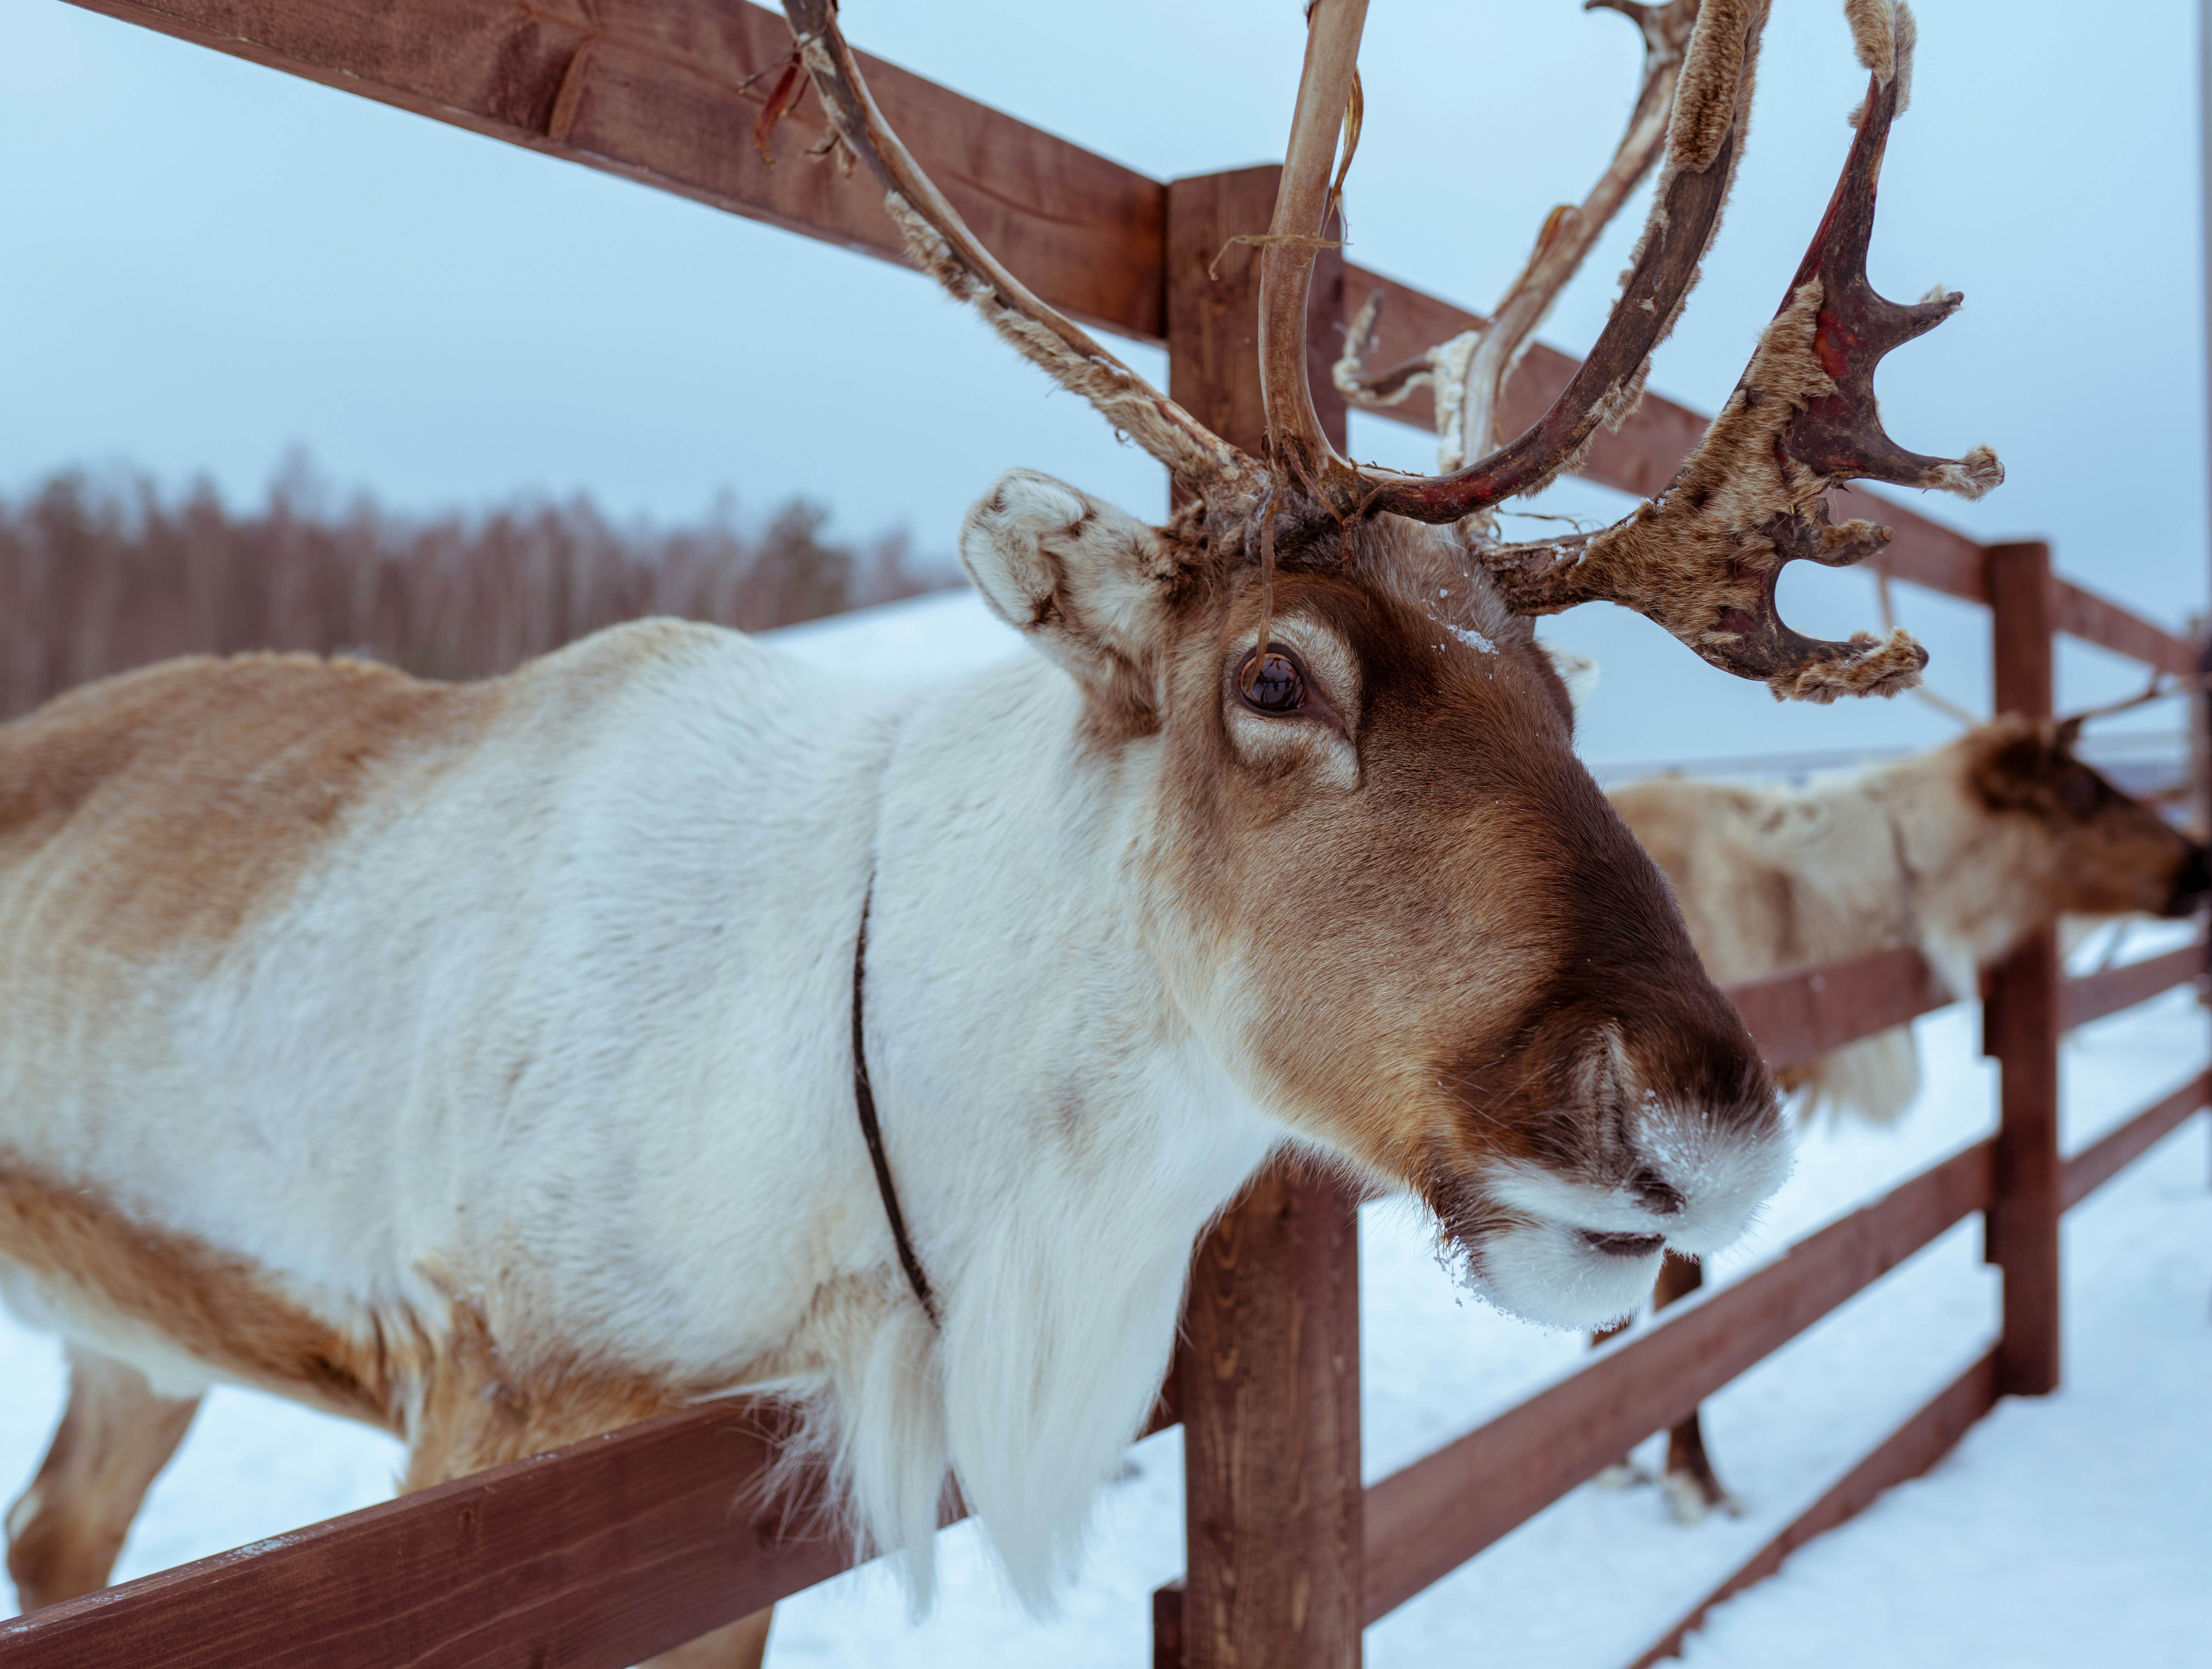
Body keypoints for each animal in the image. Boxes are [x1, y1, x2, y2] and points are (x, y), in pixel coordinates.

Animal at [0, 2, 1993, 1663]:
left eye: (1567, 704)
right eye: (1275, 678)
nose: (1703, 1130)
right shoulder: (497, 1416)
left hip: (131, 1344)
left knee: (57, 1543)